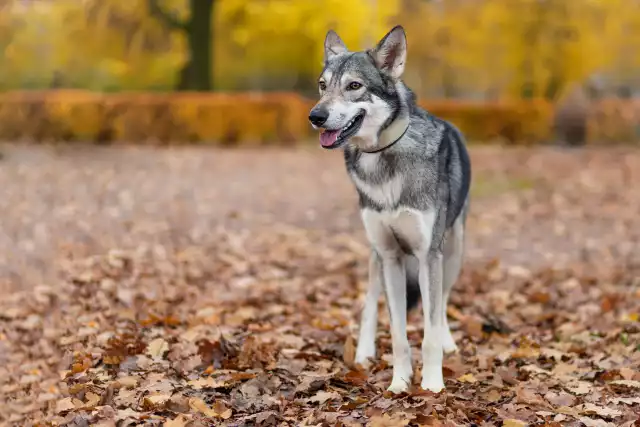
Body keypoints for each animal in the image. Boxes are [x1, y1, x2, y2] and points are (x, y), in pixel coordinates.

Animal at [308, 25, 472, 394]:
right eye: (323, 86)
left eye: (355, 86)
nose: (316, 117)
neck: (382, 159)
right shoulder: (391, 256)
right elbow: (398, 334)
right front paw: (399, 382)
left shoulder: (429, 255)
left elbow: (428, 331)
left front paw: (431, 384)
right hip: (375, 256)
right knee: (370, 304)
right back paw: (364, 353)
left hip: (453, 254)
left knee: (441, 304)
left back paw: (448, 343)